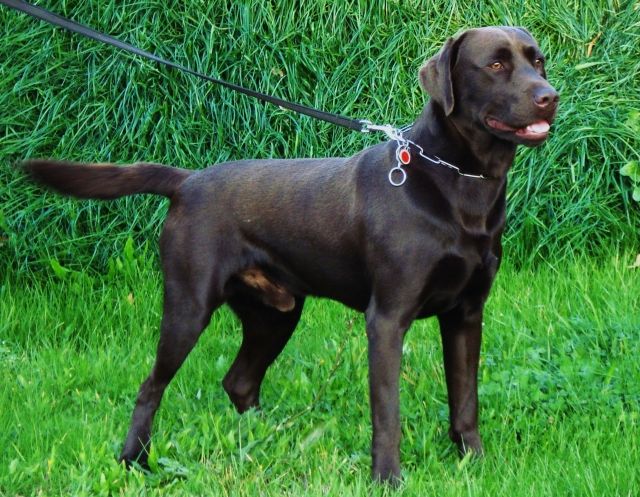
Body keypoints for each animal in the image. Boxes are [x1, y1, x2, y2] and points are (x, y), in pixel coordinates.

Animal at [23, 26, 556, 480]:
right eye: (495, 64)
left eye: (538, 61)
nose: (549, 97)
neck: (460, 180)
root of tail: (187, 181)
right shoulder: (387, 319)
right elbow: (387, 411)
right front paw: (387, 478)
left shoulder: (466, 314)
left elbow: (466, 401)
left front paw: (475, 463)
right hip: (189, 307)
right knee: (152, 386)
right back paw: (134, 459)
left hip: (275, 313)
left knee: (239, 381)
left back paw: (271, 433)